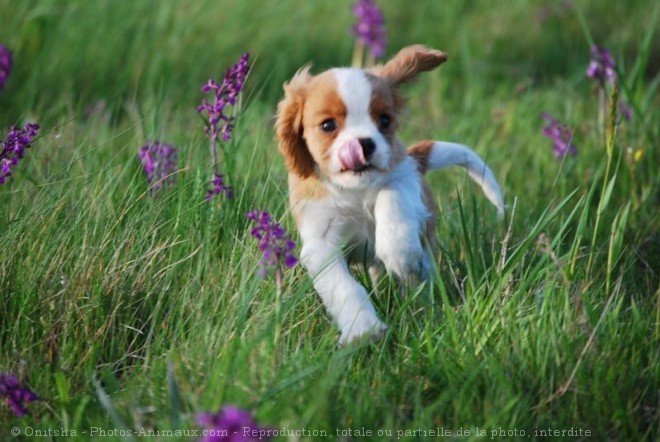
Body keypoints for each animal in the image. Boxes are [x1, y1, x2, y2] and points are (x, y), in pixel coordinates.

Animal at [276, 45, 502, 346]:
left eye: (384, 120)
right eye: (327, 126)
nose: (364, 144)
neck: (355, 190)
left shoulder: (405, 177)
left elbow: (390, 195)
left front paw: (399, 253)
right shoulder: (320, 241)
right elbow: (343, 286)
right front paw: (363, 329)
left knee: (421, 278)